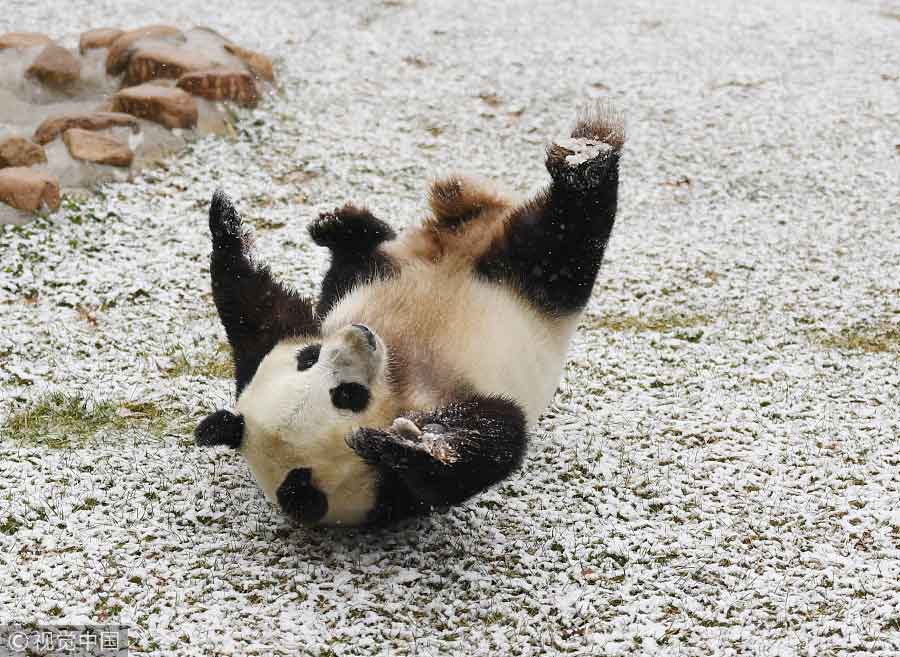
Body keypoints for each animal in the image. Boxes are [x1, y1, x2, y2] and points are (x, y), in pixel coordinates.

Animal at [194, 100, 624, 524]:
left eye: (309, 357)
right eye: (348, 395)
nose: (360, 334)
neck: (396, 374)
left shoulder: (272, 349)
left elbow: (254, 307)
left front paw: (224, 220)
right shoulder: (398, 489)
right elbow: (494, 439)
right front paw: (405, 446)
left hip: (387, 268)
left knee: (359, 256)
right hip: (526, 286)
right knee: (562, 244)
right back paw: (587, 167)